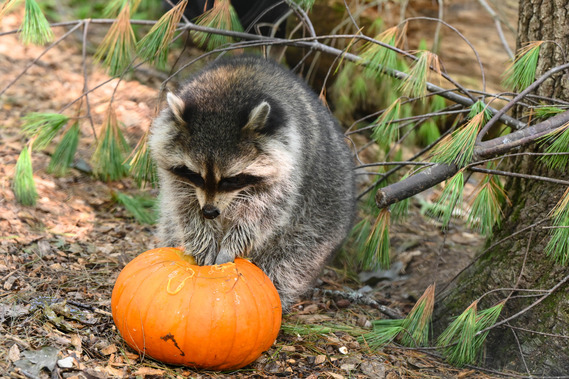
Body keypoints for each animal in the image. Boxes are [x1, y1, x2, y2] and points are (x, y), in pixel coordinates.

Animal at [150, 56, 356, 312]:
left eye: (231, 179)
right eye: (195, 175)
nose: (209, 212)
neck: (226, 92)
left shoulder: (289, 169)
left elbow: (261, 214)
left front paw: (231, 246)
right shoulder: (177, 177)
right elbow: (184, 205)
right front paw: (202, 240)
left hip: (323, 218)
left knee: (292, 258)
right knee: (171, 222)